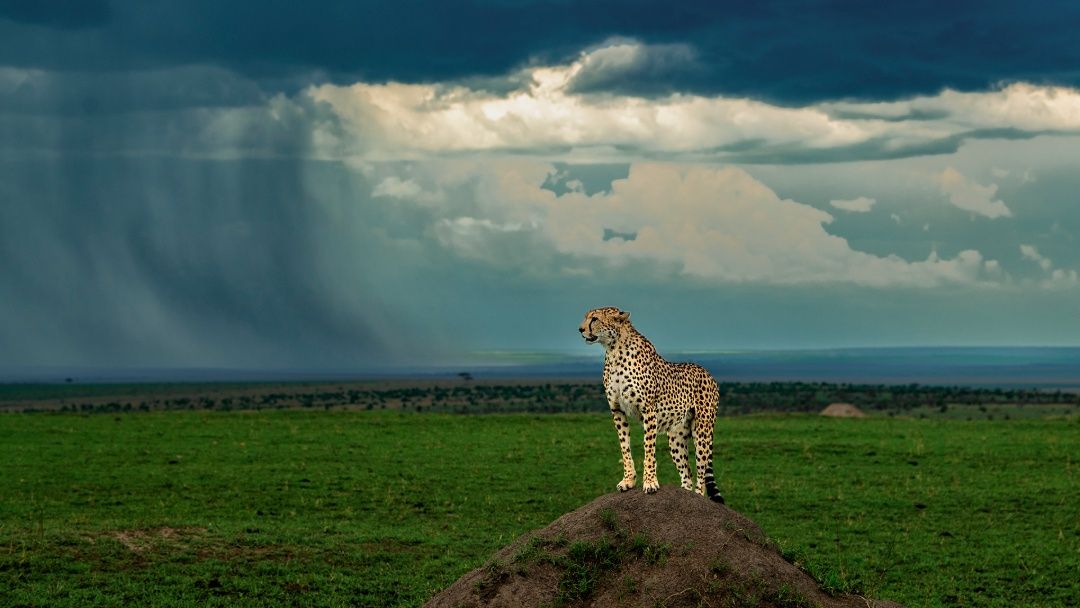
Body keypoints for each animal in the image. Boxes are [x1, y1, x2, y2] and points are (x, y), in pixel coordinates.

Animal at [579, 306, 724, 503]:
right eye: (586, 318)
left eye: (594, 319)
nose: (580, 329)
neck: (614, 349)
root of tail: (707, 372)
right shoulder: (617, 410)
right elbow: (624, 447)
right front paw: (628, 480)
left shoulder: (648, 410)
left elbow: (648, 448)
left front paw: (650, 483)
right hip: (676, 436)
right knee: (687, 473)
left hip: (702, 431)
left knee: (701, 473)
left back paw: (697, 497)